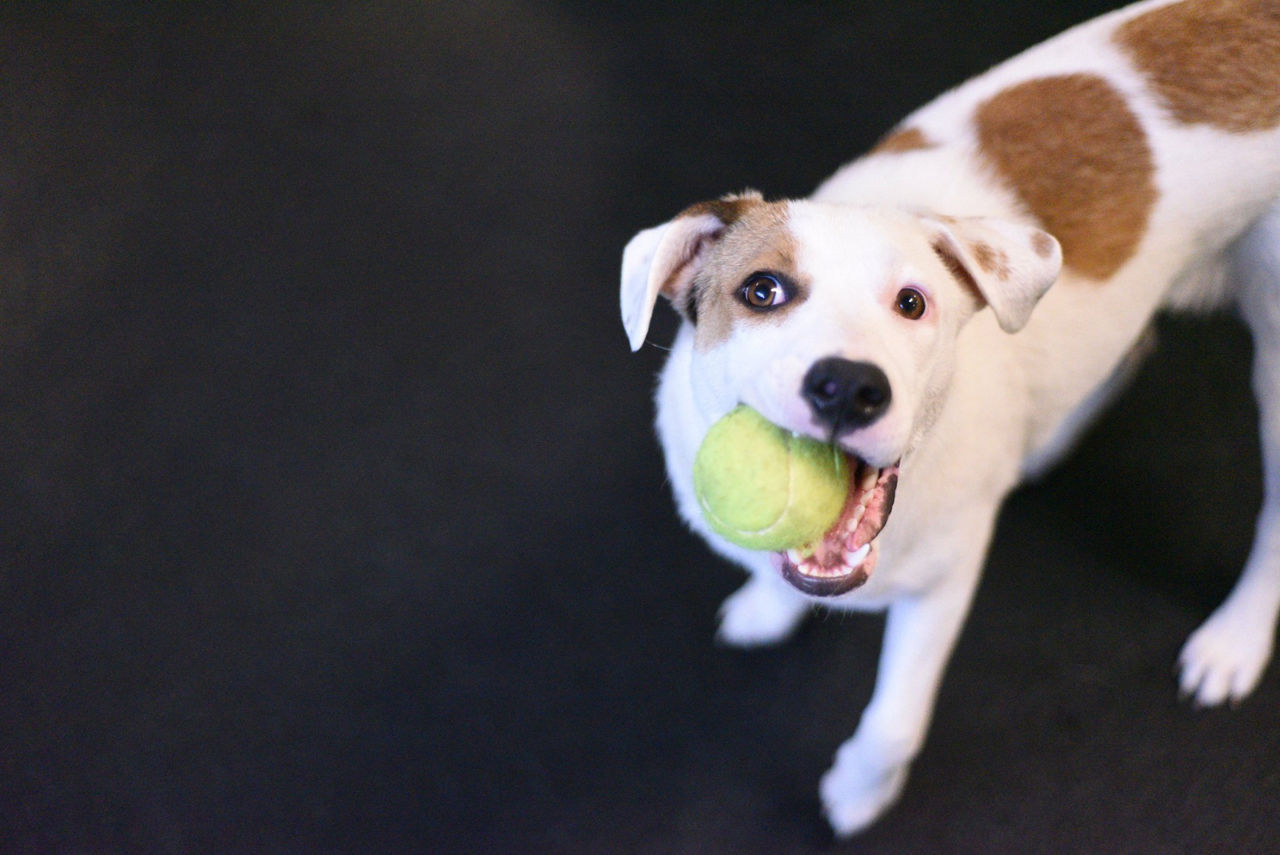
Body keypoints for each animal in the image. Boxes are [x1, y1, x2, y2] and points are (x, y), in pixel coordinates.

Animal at [619, 0, 1280, 839]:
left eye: (913, 302)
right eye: (761, 290)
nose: (847, 387)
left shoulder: (946, 579)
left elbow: (895, 722)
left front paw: (860, 790)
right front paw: (768, 607)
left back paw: (1235, 639)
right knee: (1134, 344)